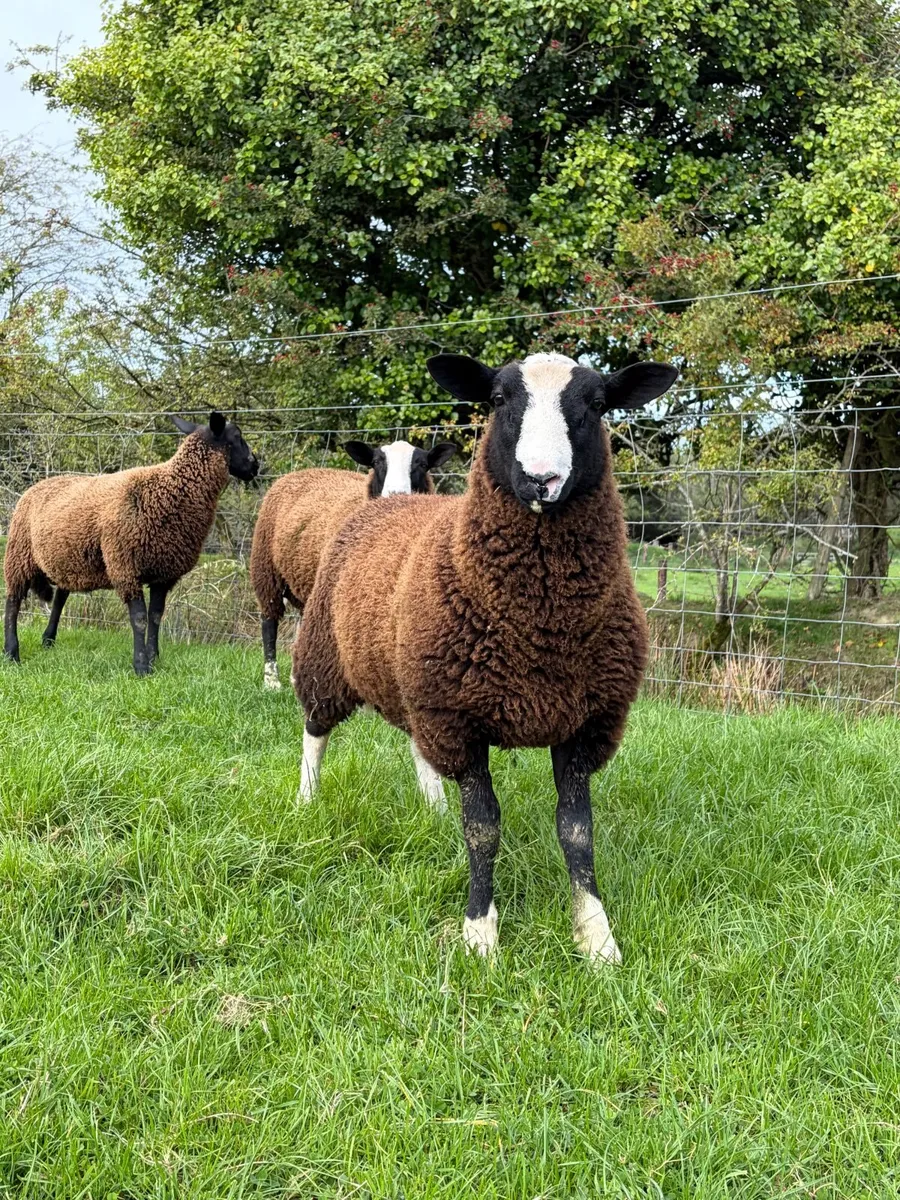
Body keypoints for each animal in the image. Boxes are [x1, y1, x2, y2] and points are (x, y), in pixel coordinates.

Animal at [3, 412, 259, 676]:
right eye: (236, 436)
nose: (255, 465)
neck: (171, 490)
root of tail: (35, 486)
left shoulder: (163, 573)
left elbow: (155, 616)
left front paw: (154, 657)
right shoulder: (125, 565)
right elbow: (139, 618)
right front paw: (141, 666)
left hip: (67, 559)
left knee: (59, 599)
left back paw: (48, 640)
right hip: (19, 554)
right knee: (12, 602)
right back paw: (12, 653)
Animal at [250, 439, 456, 691]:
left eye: (422, 464)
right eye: (376, 462)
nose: (396, 494)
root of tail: (300, 472)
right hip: (266, 568)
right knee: (269, 621)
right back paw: (272, 680)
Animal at [290, 352, 677, 962]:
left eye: (597, 405)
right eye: (497, 399)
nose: (541, 479)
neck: (541, 625)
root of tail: (397, 500)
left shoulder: (584, 723)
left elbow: (577, 832)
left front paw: (596, 936)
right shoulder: (462, 722)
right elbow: (483, 829)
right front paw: (480, 933)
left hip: (418, 685)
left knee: (416, 744)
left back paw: (431, 807)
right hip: (329, 657)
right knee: (315, 730)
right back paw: (306, 799)